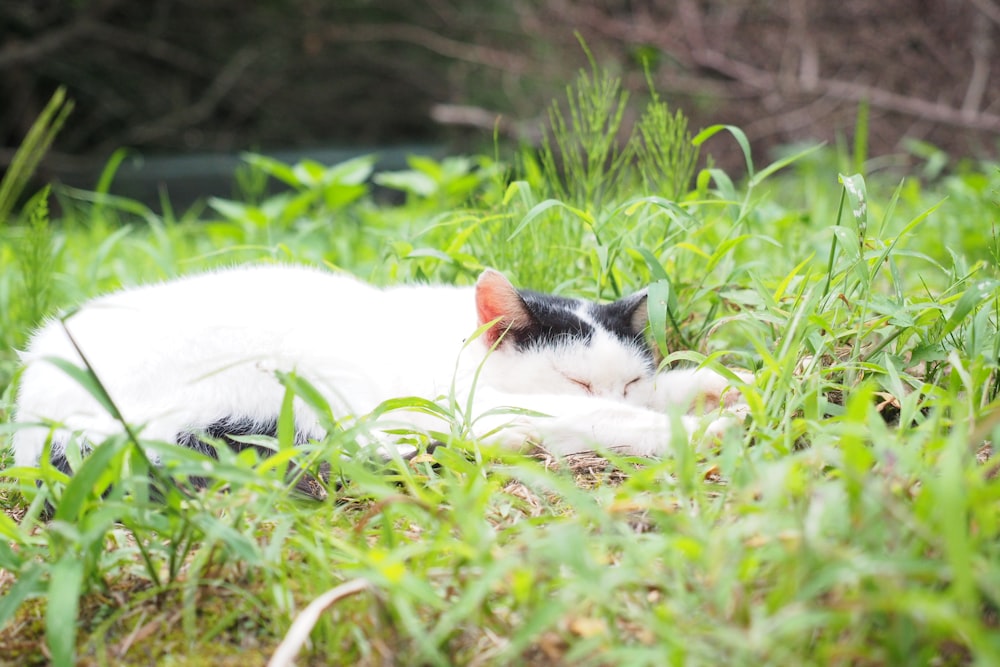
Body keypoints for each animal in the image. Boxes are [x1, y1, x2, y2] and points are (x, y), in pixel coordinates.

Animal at [9, 264, 752, 482]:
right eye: (575, 379)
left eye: (629, 378)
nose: (620, 392)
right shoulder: (475, 407)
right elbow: (594, 420)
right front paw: (694, 432)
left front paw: (722, 392)